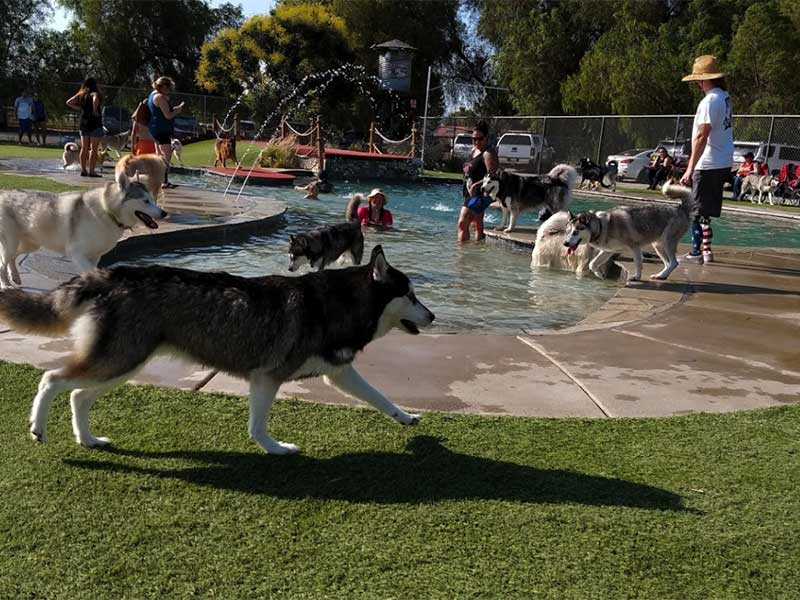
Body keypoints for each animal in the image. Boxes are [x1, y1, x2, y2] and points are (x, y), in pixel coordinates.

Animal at [0, 171, 166, 288]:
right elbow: (92, 272)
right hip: (12, 243)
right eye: (145, 201)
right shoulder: (77, 253)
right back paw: (6, 284)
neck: (107, 211)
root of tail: (3, 192)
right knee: (3, 262)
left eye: (152, 200)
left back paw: (15, 277)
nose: (164, 213)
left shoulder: (95, 256)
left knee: (12, 258)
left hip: (31, 244)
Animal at [0, 246, 434, 452]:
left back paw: (88, 439)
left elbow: (378, 396)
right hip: (118, 361)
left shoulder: (338, 372)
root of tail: (110, 274)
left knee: (78, 395)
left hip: (123, 364)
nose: (432, 316)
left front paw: (405, 417)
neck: (336, 303)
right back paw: (39, 427)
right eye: (411, 295)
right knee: (52, 379)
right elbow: (258, 426)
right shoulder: (267, 378)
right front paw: (275, 449)